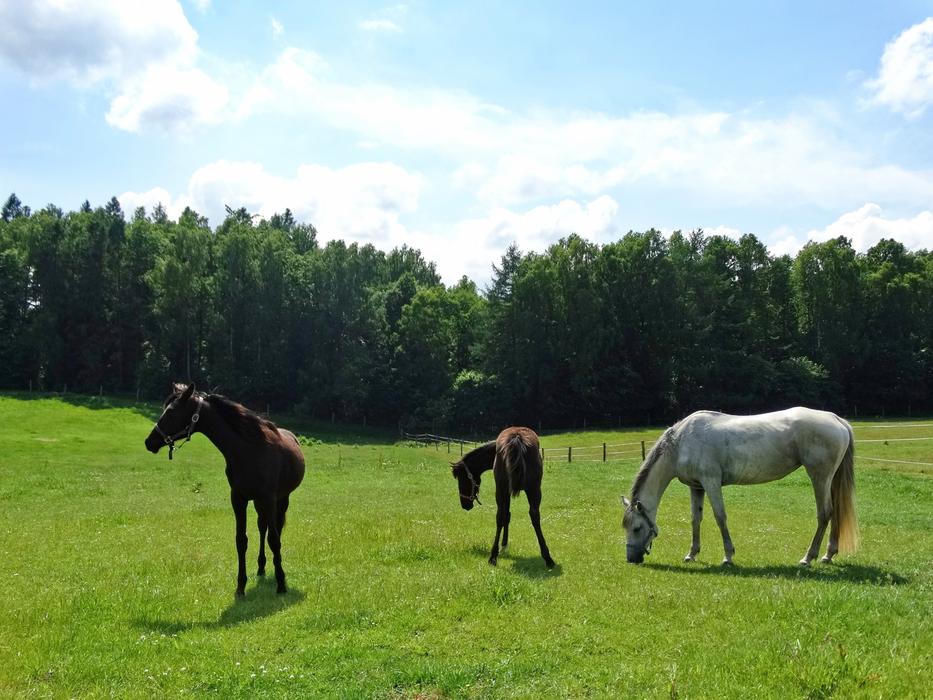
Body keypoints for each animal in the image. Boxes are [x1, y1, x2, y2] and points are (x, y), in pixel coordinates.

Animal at [144, 383, 305, 595]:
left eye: (171, 412)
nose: (149, 442)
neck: (248, 451)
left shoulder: (269, 498)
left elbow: (274, 539)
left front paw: (281, 583)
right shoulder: (238, 499)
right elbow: (241, 540)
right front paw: (240, 586)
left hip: (281, 499)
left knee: (272, 530)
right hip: (258, 503)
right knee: (262, 528)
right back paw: (261, 567)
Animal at [451, 427, 555, 569]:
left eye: (462, 481)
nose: (464, 505)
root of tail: (516, 438)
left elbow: (506, 515)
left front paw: (504, 544)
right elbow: (507, 515)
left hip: (502, 491)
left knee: (501, 516)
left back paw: (493, 556)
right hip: (532, 490)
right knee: (534, 517)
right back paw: (547, 558)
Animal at [621, 407, 858, 567]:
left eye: (637, 528)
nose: (631, 559)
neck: (681, 443)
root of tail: (836, 419)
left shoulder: (711, 482)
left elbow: (720, 517)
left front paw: (728, 556)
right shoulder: (696, 487)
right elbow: (695, 519)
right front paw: (692, 554)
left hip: (819, 477)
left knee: (824, 514)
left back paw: (808, 558)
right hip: (829, 480)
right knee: (835, 513)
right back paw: (828, 555)